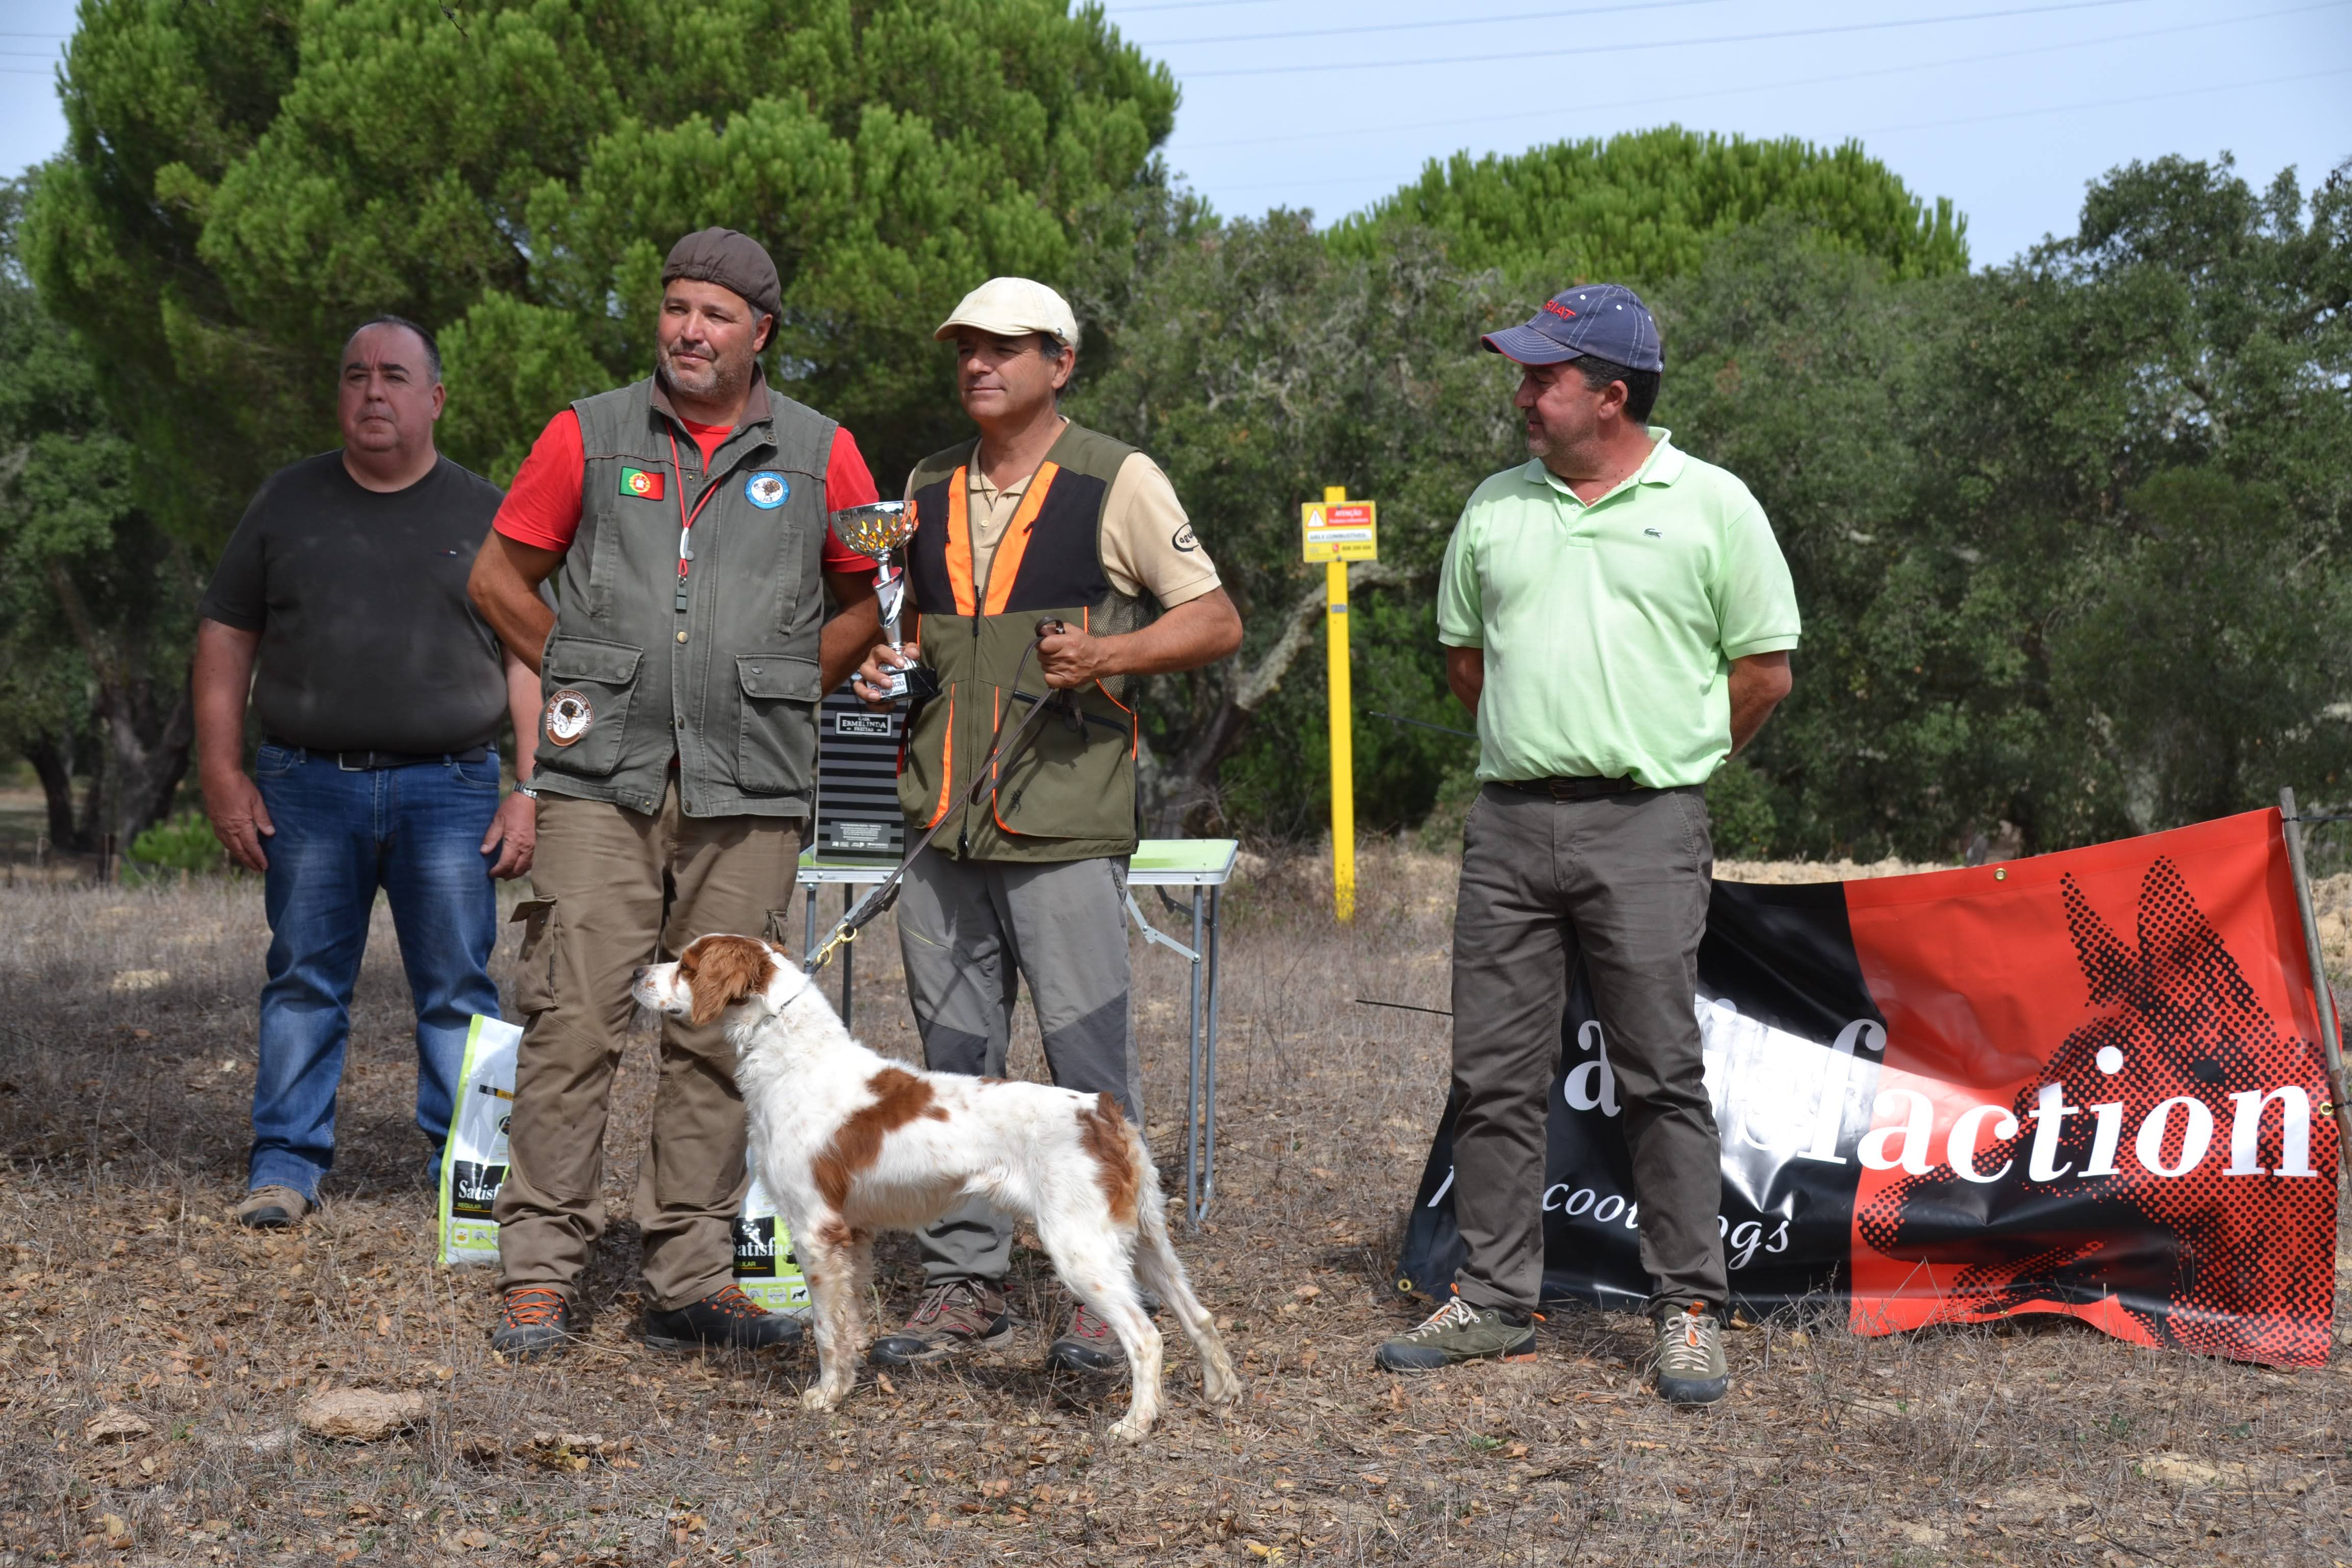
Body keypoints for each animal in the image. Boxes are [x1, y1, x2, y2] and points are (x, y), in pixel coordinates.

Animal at [635, 940, 1242, 1438]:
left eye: (687, 966)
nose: (640, 970)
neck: (794, 1060)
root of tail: (1101, 1112)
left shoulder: (814, 1230)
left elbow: (828, 1328)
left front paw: (824, 1397)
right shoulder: (853, 1235)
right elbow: (851, 1323)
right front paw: (847, 1384)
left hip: (1081, 1250)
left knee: (1146, 1336)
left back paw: (1136, 1424)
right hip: (1149, 1242)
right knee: (1199, 1316)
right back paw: (1222, 1392)